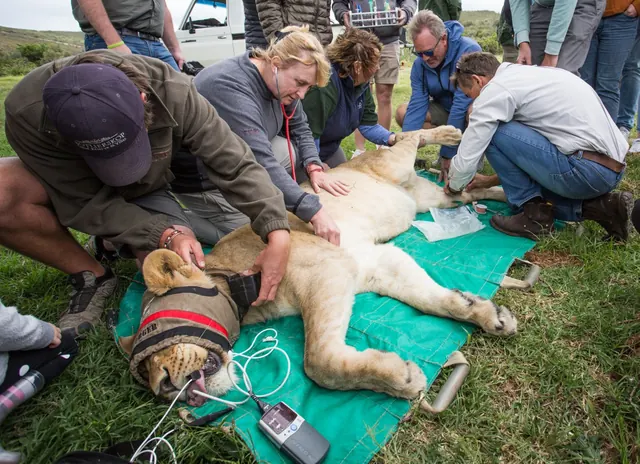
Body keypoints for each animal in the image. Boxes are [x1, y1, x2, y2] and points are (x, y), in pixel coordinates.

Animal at [122, 127, 517, 407]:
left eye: (155, 327)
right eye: (143, 372)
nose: (165, 387)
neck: (237, 286)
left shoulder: (330, 267)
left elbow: (318, 362)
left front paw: (403, 379)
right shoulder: (370, 263)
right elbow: (431, 299)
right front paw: (486, 313)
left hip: (396, 163)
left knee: (407, 136)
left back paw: (451, 133)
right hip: (431, 199)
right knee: (461, 193)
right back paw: (498, 193)